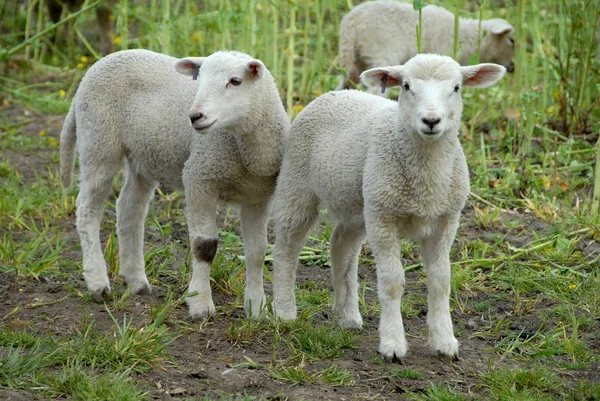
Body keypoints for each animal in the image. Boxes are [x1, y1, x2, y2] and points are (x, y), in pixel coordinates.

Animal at [59, 48, 290, 318]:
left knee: (129, 209)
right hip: (99, 140)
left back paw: (137, 281)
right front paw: (200, 305)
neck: (247, 152)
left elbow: (257, 252)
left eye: (235, 81)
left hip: (143, 157)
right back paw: (97, 282)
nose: (194, 117)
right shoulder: (199, 178)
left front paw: (256, 309)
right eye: (199, 80)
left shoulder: (259, 197)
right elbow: (204, 246)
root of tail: (97, 66)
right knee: (88, 210)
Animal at [274, 52, 504, 360]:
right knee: (287, 246)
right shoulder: (384, 220)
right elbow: (393, 283)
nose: (431, 121)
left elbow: (441, 281)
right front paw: (393, 344)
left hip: (359, 202)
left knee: (342, 245)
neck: (426, 182)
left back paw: (347, 315)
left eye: (456, 88)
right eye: (406, 86)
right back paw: (284, 310)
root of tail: (339, 92)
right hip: (298, 182)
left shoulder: (446, 221)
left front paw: (445, 341)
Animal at [336, 0, 512, 92]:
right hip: (381, 53)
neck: (467, 35)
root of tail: (350, 24)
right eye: (512, 40)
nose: (512, 67)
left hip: (356, 60)